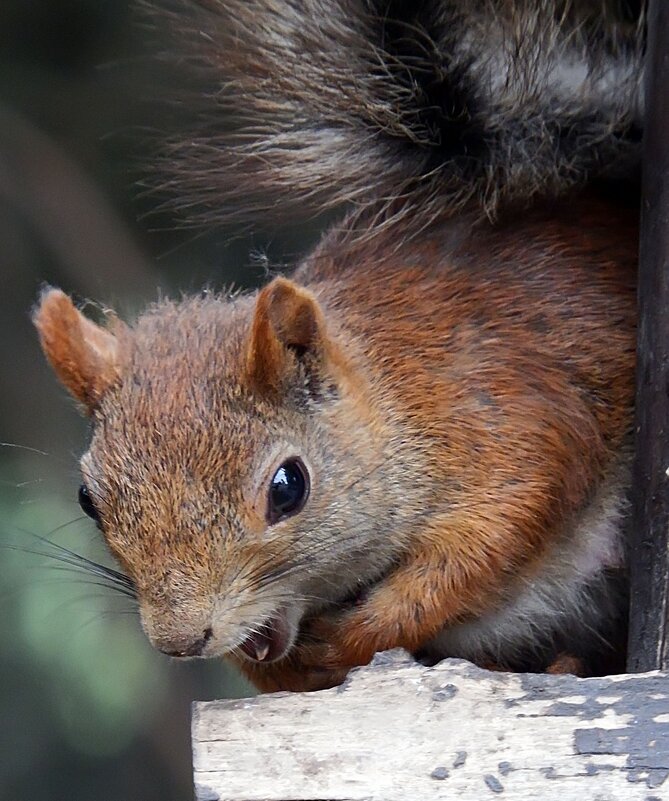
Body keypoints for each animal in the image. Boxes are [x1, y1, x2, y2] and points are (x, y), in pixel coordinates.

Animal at [32, 0, 640, 692]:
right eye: (88, 500)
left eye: (288, 487)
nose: (180, 641)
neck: (393, 401)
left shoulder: (507, 422)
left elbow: (480, 546)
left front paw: (357, 633)